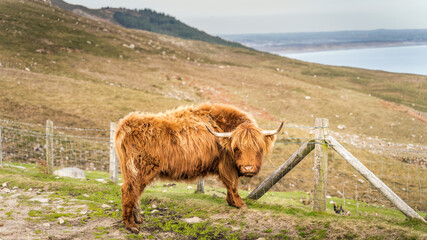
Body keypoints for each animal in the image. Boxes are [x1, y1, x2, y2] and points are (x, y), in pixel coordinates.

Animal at [116, 103, 284, 232]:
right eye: (237, 148)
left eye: (259, 148)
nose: (248, 168)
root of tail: (126, 123)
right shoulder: (227, 165)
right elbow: (233, 184)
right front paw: (240, 204)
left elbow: (230, 186)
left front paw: (231, 202)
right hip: (139, 169)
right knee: (129, 190)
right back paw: (130, 225)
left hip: (133, 171)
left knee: (135, 192)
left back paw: (138, 219)